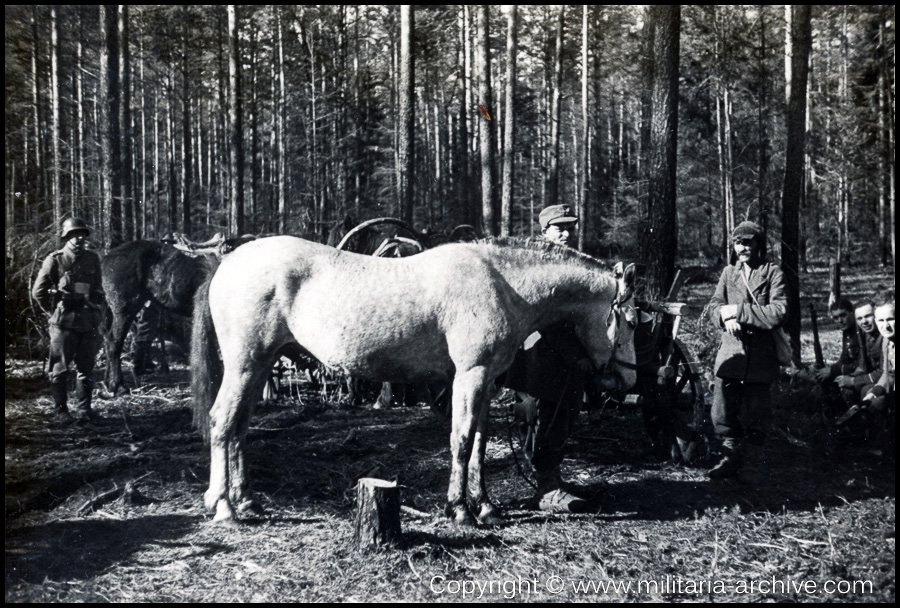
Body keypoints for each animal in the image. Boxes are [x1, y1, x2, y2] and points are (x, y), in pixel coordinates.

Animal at [192, 235, 636, 524]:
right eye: (630, 320)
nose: (627, 382)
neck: (502, 284)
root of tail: (226, 263)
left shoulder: (487, 380)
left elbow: (479, 444)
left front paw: (486, 507)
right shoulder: (470, 375)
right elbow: (461, 441)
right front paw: (460, 510)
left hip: (259, 366)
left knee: (240, 427)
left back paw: (247, 501)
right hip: (245, 364)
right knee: (222, 421)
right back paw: (224, 506)